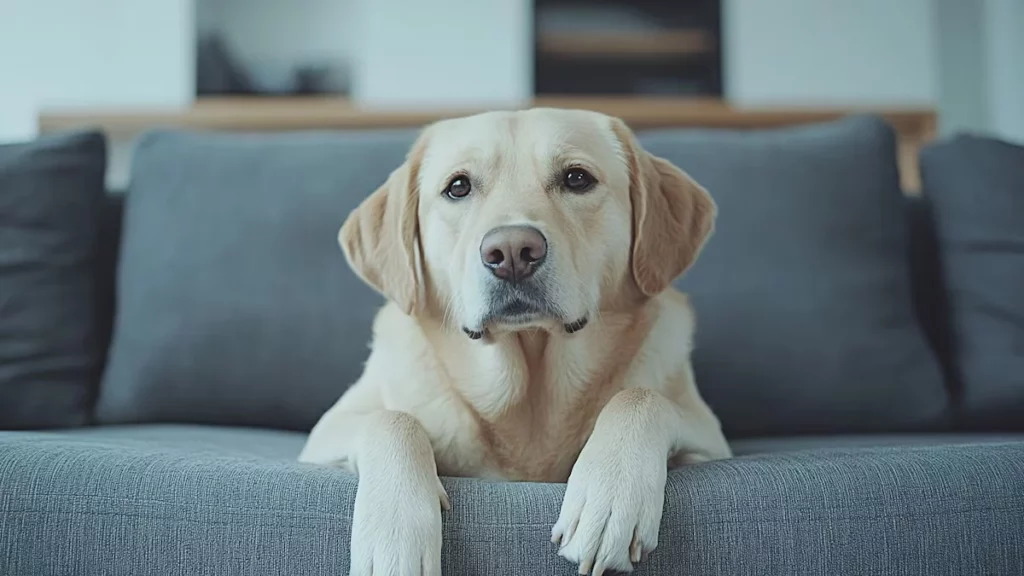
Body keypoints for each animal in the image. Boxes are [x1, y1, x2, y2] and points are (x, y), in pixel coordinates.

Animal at [299, 108, 733, 573]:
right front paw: (395, 538)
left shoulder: (713, 443)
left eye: (577, 178)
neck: (529, 390)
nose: (511, 252)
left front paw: (610, 500)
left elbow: (641, 398)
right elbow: (392, 420)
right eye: (458, 187)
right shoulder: (324, 436)